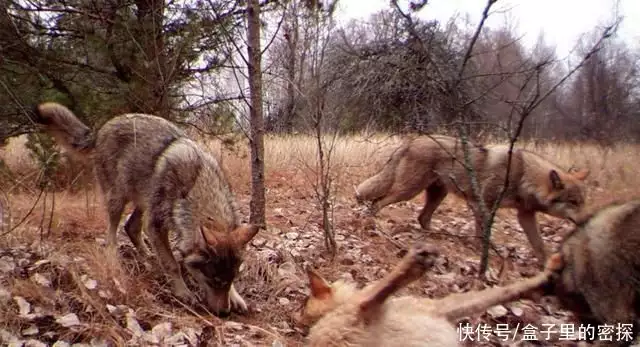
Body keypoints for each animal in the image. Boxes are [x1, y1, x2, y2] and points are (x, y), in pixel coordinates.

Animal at [33, 102, 258, 316]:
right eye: (214, 280)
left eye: (230, 280)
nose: (224, 312)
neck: (197, 185)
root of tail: (103, 127)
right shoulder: (156, 225)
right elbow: (172, 264)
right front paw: (183, 292)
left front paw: (236, 298)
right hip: (119, 199)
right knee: (112, 234)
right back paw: (115, 259)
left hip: (144, 201)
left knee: (131, 227)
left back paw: (148, 257)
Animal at [296, 243, 560, 346]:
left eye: (302, 304)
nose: (297, 318)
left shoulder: (441, 307)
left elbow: (499, 292)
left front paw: (542, 280)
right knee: (370, 299)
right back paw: (415, 262)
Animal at [356, 136, 592, 266]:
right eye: (573, 202)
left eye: (582, 201)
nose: (587, 220)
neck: (523, 174)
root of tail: (411, 140)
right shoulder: (483, 205)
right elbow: (483, 232)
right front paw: (483, 251)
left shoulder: (525, 215)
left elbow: (539, 245)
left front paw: (546, 266)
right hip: (408, 191)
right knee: (378, 203)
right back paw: (374, 224)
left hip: (436, 194)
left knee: (422, 217)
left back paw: (439, 237)